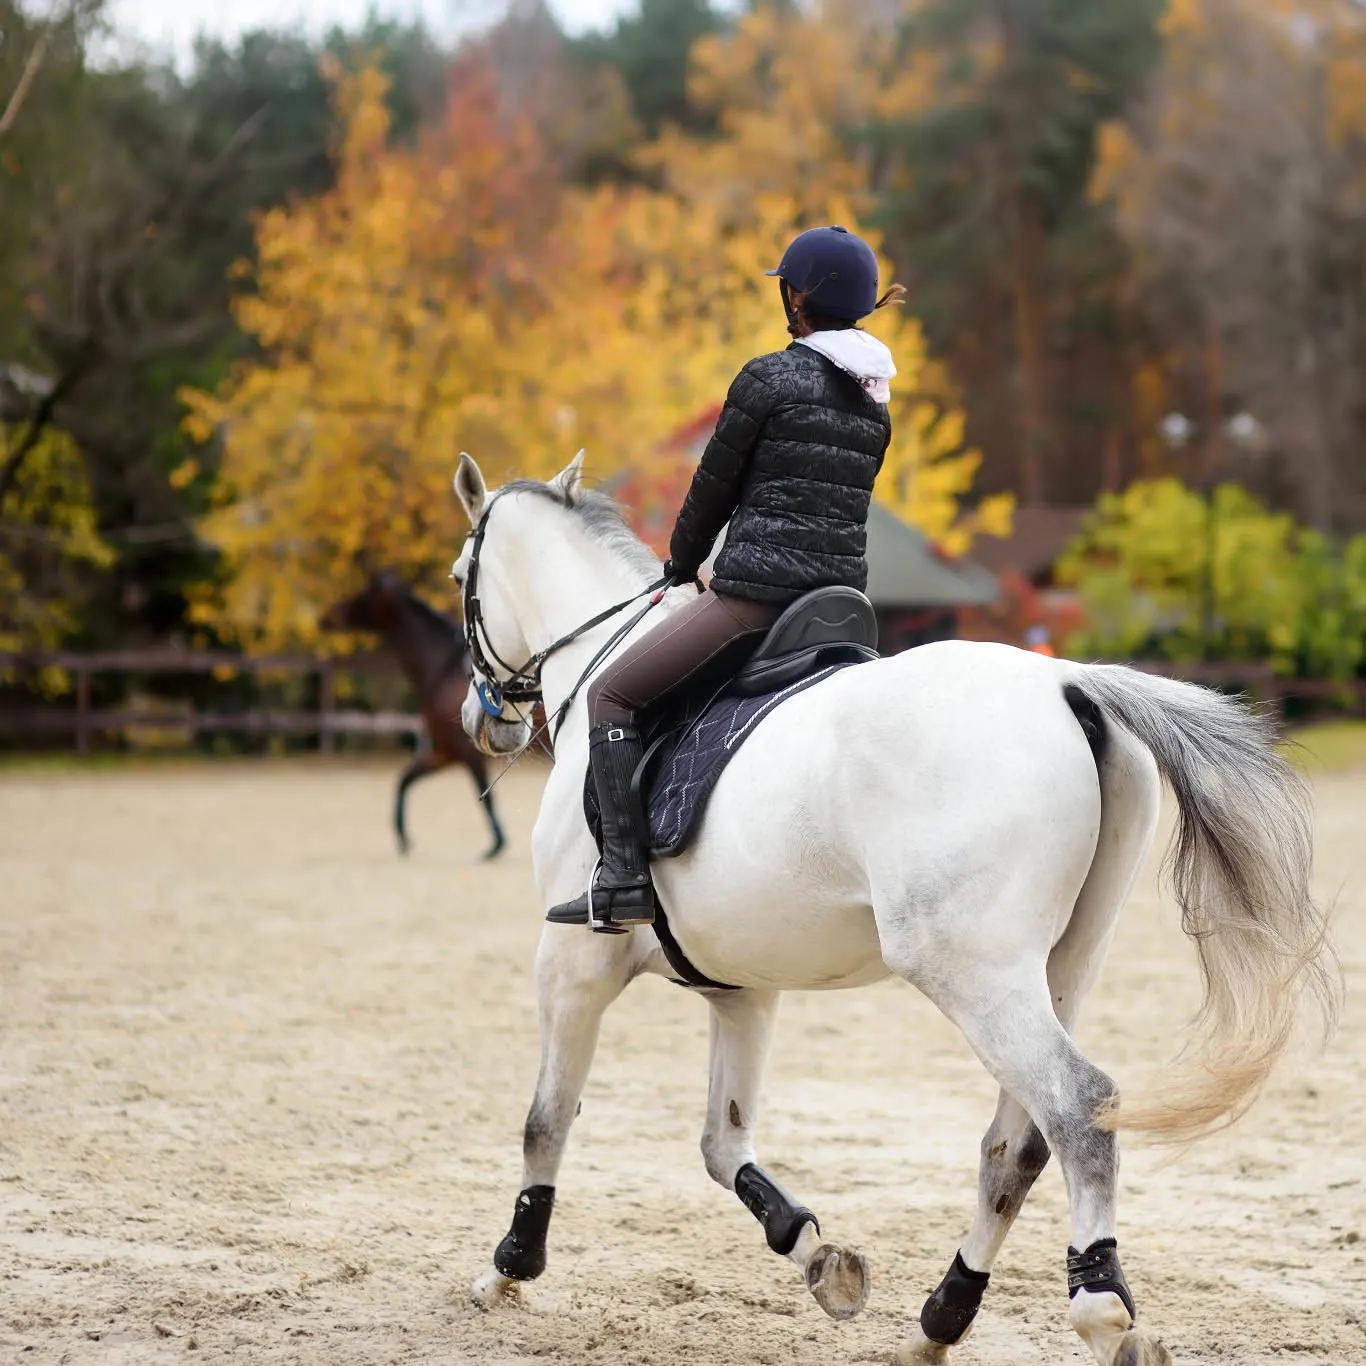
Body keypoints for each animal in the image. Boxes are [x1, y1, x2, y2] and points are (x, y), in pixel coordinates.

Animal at [319, 573, 508, 852]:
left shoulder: (467, 752)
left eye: (363, 595)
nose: (328, 617)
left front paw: (497, 843)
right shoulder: (445, 751)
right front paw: (402, 836)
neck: (444, 669)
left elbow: (486, 792)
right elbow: (405, 779)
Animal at [445, 450, 1333, 1366]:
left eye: (456, 578)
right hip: (1058, 968)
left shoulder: (572, 966)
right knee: (1017, 1143)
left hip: (970, 971)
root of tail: (1068, 684)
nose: (486, 720)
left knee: (1078, 1108)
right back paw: (942, 1318)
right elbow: (723, 1145)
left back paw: (1099, 1305)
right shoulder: (741, 991)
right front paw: (816, 1254)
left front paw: (509, 1269)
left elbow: (546, 1122)